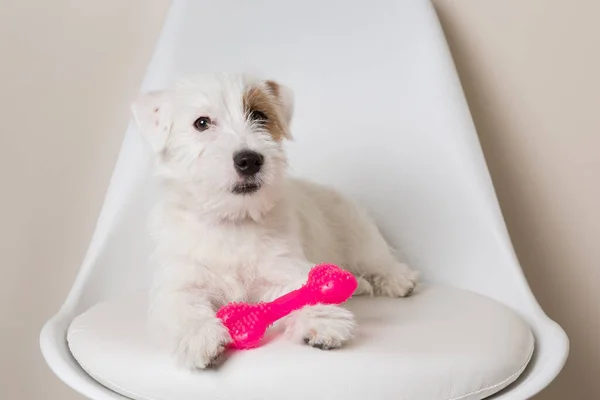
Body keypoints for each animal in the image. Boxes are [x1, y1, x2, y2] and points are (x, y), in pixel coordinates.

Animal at [131, 74, 418, 368]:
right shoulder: (179, 282)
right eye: (202, 123)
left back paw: (398, 280)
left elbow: (300, 293)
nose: (249, 160)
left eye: (259, 115)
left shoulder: (282, 268)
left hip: (359, 236)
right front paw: (199, 335)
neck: (232, 221)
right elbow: (183, 307)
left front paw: (321, 318)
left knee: (378, 259)